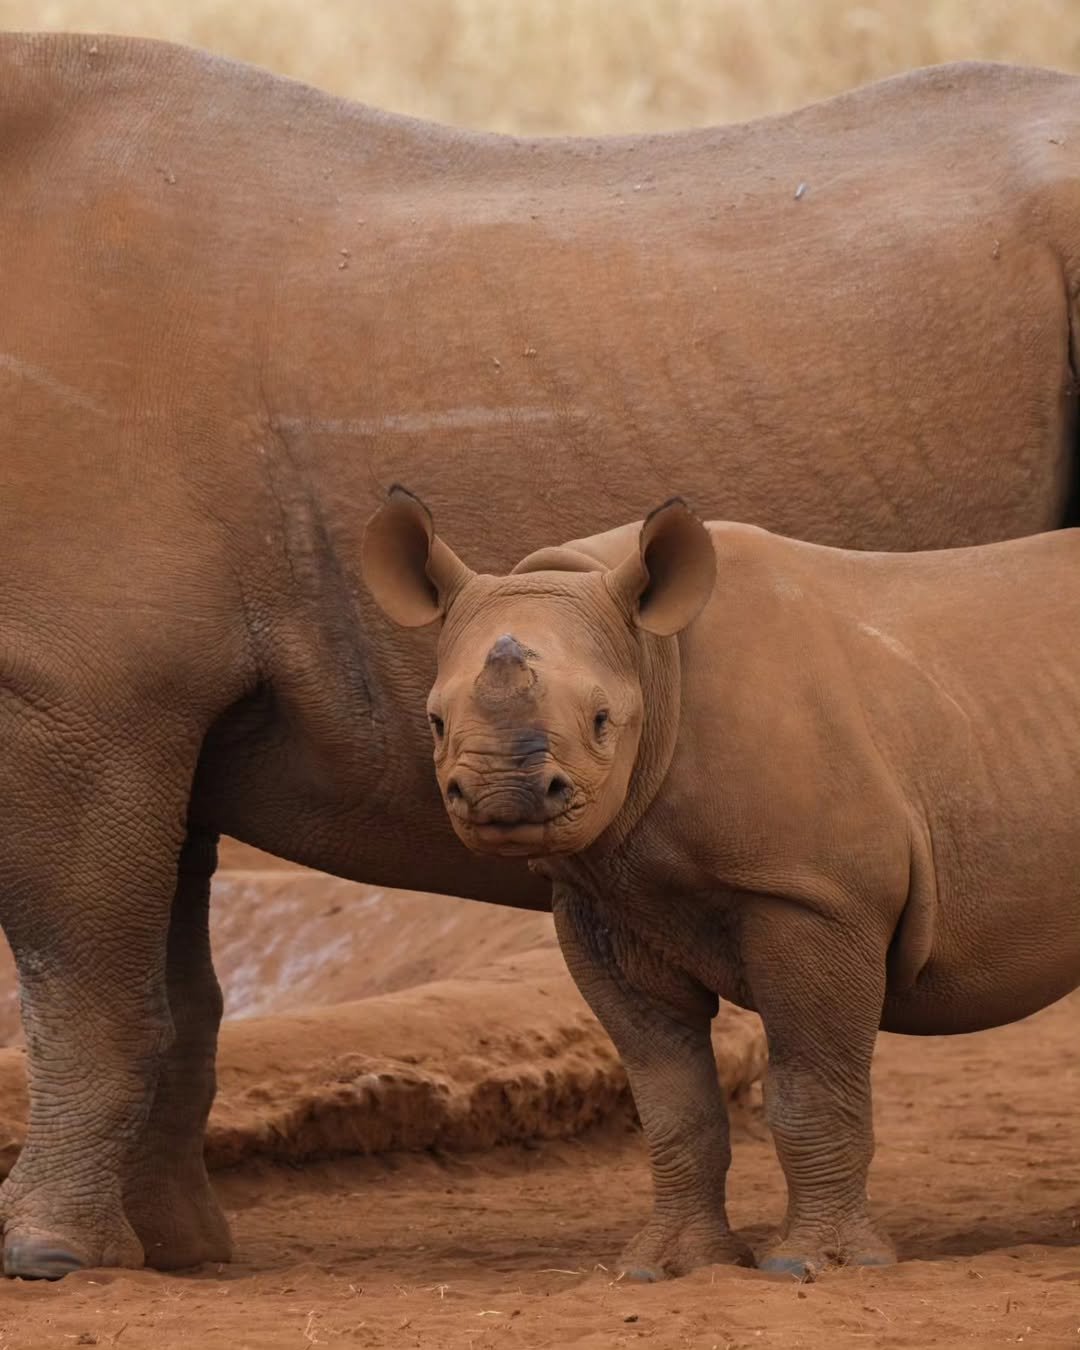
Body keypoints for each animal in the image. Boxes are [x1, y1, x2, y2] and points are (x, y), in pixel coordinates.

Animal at [363, 486, 1080, 1279]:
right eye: (433, 721)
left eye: (602, 720)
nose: (503, 797)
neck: (650, 657)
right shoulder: (604, 901)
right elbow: (672, 1101)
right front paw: (665, 1267)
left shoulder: (813, 895)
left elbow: (810, 1088)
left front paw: (818, 1264)